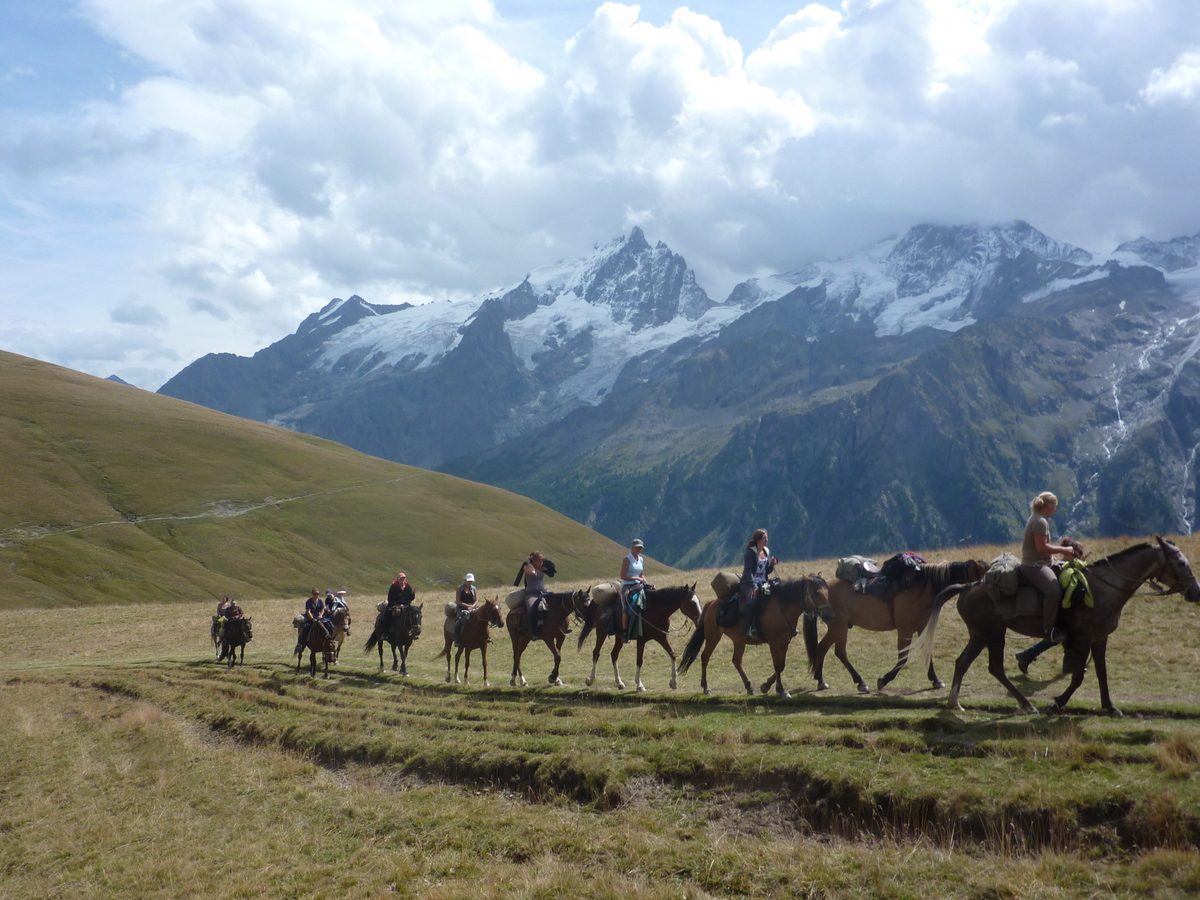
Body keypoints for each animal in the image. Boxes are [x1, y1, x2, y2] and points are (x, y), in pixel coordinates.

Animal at [681, 578, 830, 705]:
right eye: (816, 593)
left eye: (828, 592)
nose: (829, 615)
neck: (782, 607)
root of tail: (712, 602)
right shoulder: (774, 642)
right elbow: (777, 665)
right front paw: (782, 690)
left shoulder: (784, 641)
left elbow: (782, 665)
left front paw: (766, 686)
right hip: (713, 636)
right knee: (705, 657)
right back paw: (706, 687)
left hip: (738, 640)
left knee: (736, 661)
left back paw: (749, 687)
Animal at [801, 561, 988, 696]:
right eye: (986, 572)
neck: (923, 588)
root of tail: (824, 588)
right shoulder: (905, 630)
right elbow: (903, 658)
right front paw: (884, 680)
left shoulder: (922, 627)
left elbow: (926, 652)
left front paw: (935, 680)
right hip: (839, 626)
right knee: (839, 651)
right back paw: (860, 682)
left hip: (835, 627)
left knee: (822, 647)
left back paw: (820, 681)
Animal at [912, 535, 1195, 720]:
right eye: (1180, 563)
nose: (1196, 591)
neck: (1102, 588)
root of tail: (970, 586)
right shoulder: (1082, 639)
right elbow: (1078, 676)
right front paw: (1057, 703)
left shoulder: (1099, 638)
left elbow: (1101, 673)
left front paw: (1110, 707)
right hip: (994, 634)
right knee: (995, 668)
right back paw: (1027, 705)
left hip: (980, 635)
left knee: (963, 662)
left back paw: (955, 703)